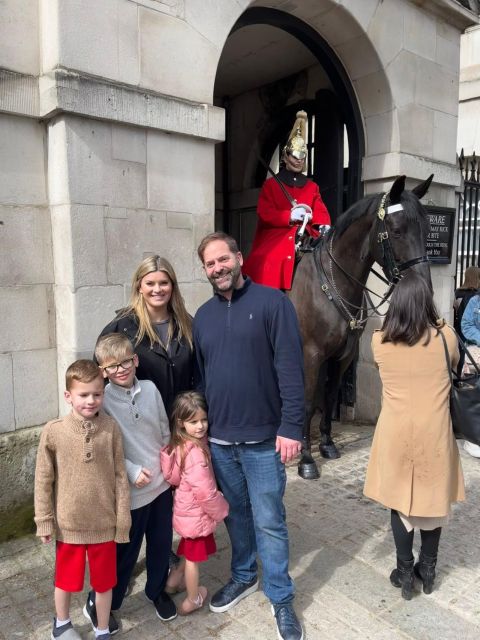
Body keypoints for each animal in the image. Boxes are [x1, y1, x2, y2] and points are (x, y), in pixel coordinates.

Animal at [290, 172, 434, 478]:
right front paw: (306, 458)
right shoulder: (310, 355)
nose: (425, 288)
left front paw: (327, 443)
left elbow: (329, 394)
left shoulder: (344, 354)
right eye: (396, 230)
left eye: (427, 229)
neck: (334, 284)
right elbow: (307, 401)